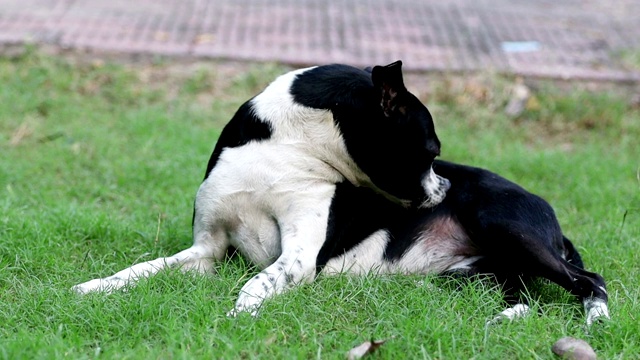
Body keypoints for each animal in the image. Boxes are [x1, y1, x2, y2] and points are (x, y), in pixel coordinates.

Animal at [71, 60, 608, 324]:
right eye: (430, 150)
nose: (445, 186)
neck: (283, 153)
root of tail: (551, 217)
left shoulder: (296, 257)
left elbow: (256, 282)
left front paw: (240, 314)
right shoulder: (208, 249)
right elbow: (143, 268)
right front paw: (95, 287)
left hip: (503, 228)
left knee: (591, 280)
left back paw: (595, 320)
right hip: (478, 272)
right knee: (526, 294)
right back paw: (507, 318)